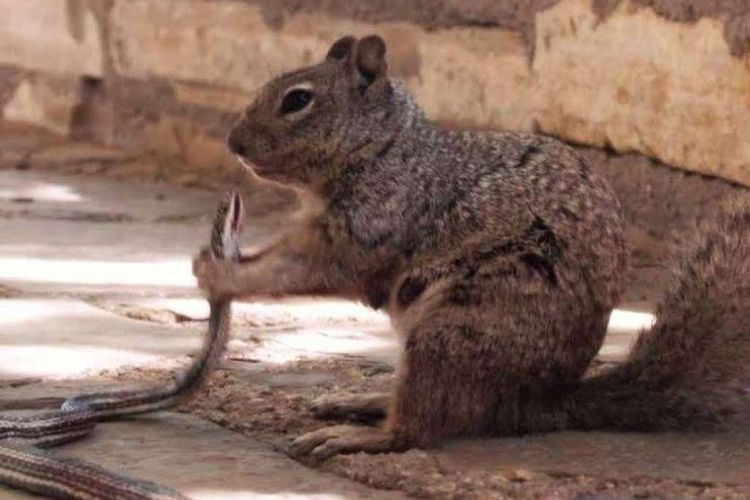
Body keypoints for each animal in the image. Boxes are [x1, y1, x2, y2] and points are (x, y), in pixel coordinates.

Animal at [192, 33, 750, 458]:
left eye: (297, 100)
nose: (233, 144)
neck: (385, 151)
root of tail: (541, 402)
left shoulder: (372, 224)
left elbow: (304, 268)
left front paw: (220, 273)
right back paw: (363, 398)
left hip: (452, 333)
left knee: (421, 426)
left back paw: (358, 436)